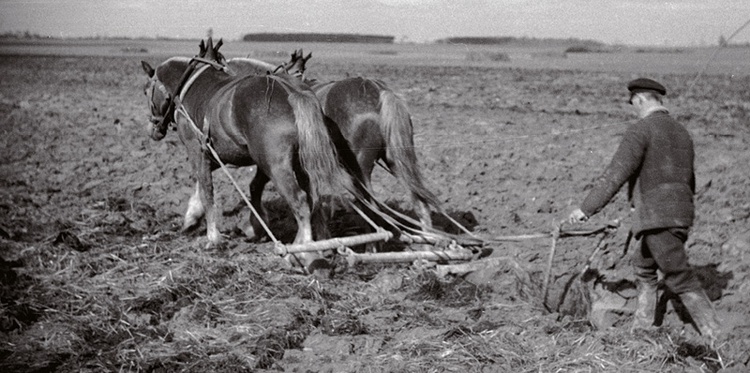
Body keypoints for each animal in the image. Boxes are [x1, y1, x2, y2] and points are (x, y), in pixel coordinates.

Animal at [141, 39, 352, 272]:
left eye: (145, 91)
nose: (153, 129)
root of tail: (291, 91)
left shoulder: (197, 150)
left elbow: (207, 190)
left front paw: (212, 237)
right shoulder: (218, 154)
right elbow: (222, 186)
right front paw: (193, 219)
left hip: (276, 165)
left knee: (300, 201)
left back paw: (304, 253)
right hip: (299, 163)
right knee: (314, 199)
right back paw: (320, 246)